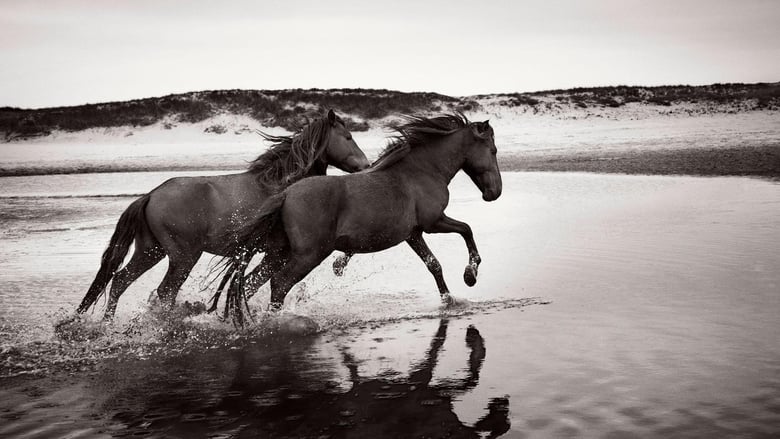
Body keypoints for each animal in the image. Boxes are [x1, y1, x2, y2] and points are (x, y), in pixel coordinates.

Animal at [76, 110, 370, 319]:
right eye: (348, 137)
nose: (366, 165)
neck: (280, 186)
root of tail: (151, 195)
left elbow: (254, 284)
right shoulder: (279, 252)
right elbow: (261, 283)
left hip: (150, 251)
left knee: (119, 281)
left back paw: (108, 324)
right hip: (182, 257)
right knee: (165, 291)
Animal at [219, 113, 501, 322]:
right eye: (494, 150)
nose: (494, 193)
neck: (421, 171)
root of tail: (286, 194)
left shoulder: (413, 234)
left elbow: (434, 265)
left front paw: (449, 300)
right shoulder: (434, 223)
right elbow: (467, 229)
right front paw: (470, 274)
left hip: (280, 252)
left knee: (250, 282)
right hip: (308, 254)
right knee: (278, 283)